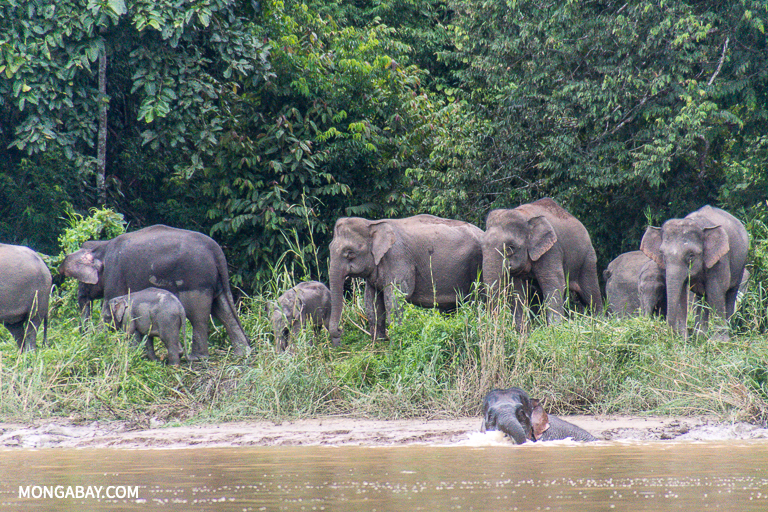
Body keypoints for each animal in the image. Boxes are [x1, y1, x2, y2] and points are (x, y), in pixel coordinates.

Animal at [61, 224, 252, 360]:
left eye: (82, 282)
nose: (85, 340)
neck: (103, 246)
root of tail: (216, 250)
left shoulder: (115, 274)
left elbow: (108, 310)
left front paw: (102, 344)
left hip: (195, 280)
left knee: (198, 315)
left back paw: (198, 358)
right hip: (214, 281)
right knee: (222, 309)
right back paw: (242, 355)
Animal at [328, 214, 484, 346]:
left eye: (350, 253)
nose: (340, 330)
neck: (372, 223)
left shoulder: (398, 259)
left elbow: (395, 299)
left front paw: (395, 346)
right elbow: (372, 302)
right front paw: (377, 344)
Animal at [484, 198, 604, 330]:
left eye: (511, 248)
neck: (523, 215)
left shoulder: (552, 250)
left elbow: (554, 283)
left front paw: (554, 328)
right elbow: (517, 290)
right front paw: (522, 331)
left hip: (587, 259)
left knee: (590, 294)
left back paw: (599, 323)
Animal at [640, 204, 748, 340]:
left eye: (691, 255)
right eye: (662, 254)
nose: (670, 334)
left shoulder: (720, 258)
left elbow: (716, 290)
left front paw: (719, 341)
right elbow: (681, 292)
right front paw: (683, 339)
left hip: (740, 264)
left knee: (729, 293)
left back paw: (727, 335)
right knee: (702, 296)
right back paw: (700, 336)